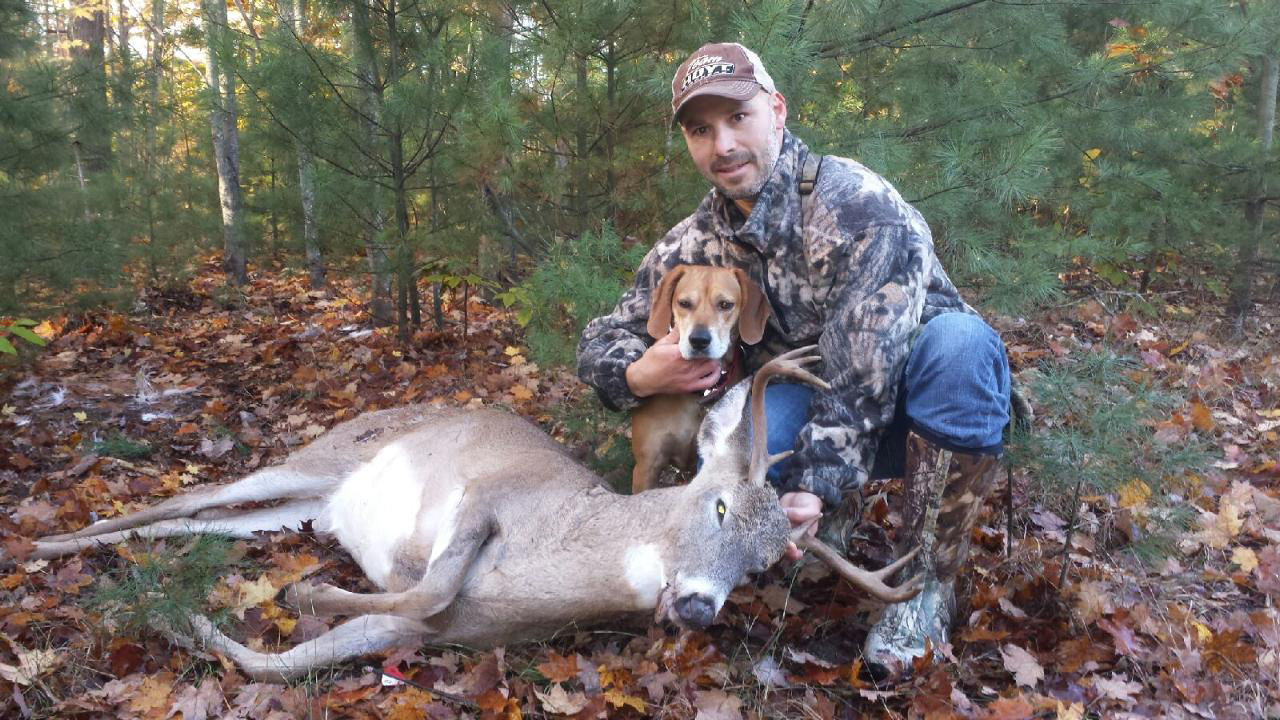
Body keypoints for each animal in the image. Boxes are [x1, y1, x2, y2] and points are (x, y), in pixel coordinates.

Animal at [29, 348, 922, 681]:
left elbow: (269, 665)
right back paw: (45, 540)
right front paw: (301, 592)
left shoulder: (427, 635)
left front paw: (183, 622)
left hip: (301, 509)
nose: (700, 607)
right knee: (187, 497)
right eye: (720, 502)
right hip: (321, 455)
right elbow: (426, 582)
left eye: (767, 564)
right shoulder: (488, 497)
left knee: (195, 523)